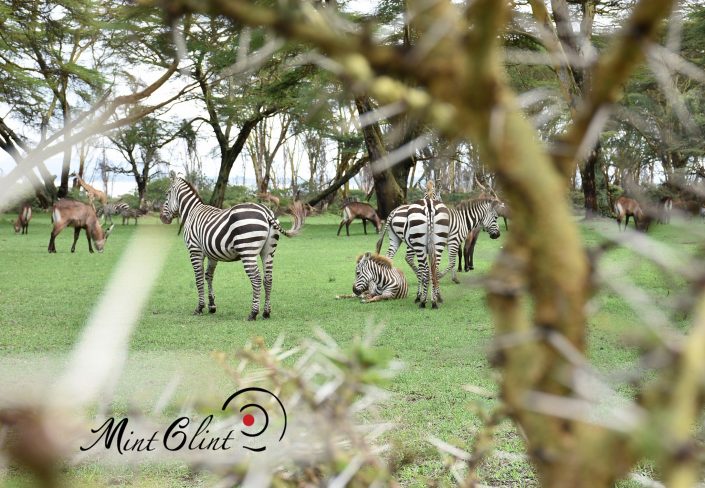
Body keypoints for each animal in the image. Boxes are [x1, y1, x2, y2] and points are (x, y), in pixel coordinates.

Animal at [161, 177, 304, 322]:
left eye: (167, 194)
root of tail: (266, 212)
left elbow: (199, 278)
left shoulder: (194, 250)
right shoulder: (212, 254)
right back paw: (266, 313)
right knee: (268, 279)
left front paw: (200, 307)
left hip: (247, 251)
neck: (192, 212)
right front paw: (212, 306)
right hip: (268, 252)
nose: (162, 218)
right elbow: (209, 276)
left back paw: (253, 313)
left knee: (256, 279)